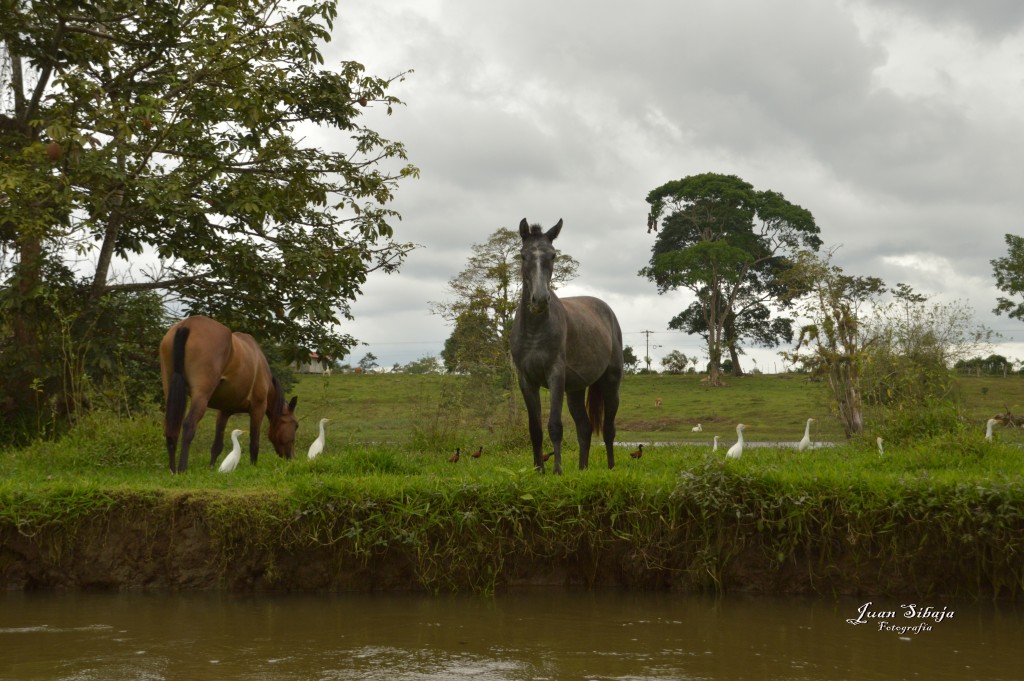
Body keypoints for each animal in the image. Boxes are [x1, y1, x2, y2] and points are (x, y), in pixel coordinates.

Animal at [157, 315, 299, 471]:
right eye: (296, 425)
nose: (292, 458)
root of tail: (187, 324)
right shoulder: (258, 408)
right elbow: (254, 443)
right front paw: (253, 467)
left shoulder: (224, 411)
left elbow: (217, 445)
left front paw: (212, 468)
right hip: (200, 396)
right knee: (189, 426)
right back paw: (182, 469)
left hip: (171, 391)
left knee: (171, 428)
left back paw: (172, 469)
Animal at [512, 218, 622, 473]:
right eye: (523, 255)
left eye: (553, 255)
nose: (540, 300)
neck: (535, 330)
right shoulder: (526, 380)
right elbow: (535, 429)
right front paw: (538, 471)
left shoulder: (555, 375)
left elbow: (554, 425)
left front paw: (557, 471)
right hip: (575, 390)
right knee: (585, 428)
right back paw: (583, 469)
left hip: (611, 383)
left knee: (609, 429)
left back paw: (611, 468)